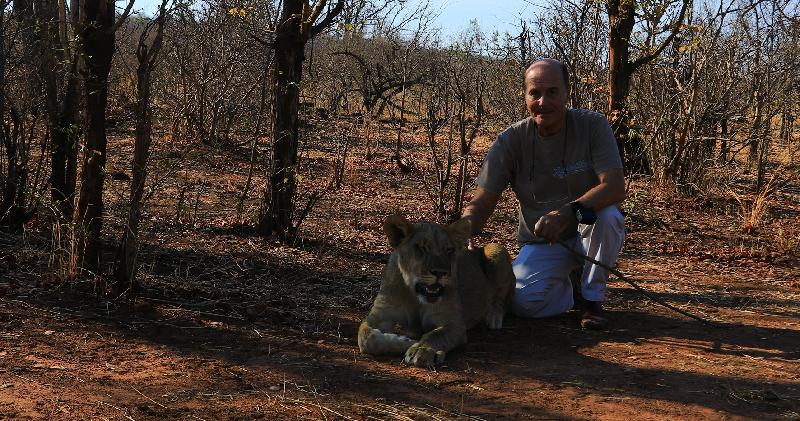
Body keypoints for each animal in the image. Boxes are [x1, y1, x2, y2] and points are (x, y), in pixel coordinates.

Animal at [357, 214, 515, 367]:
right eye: (422, 248)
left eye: (449, 250)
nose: (440, 272)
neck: (415, 296)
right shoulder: (380, 315)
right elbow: (365, 337)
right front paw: (403, 342)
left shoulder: (454, 324)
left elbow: (434, 336)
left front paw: (420, 349)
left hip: (496, 249)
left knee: (502, 301)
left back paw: (493, 317)